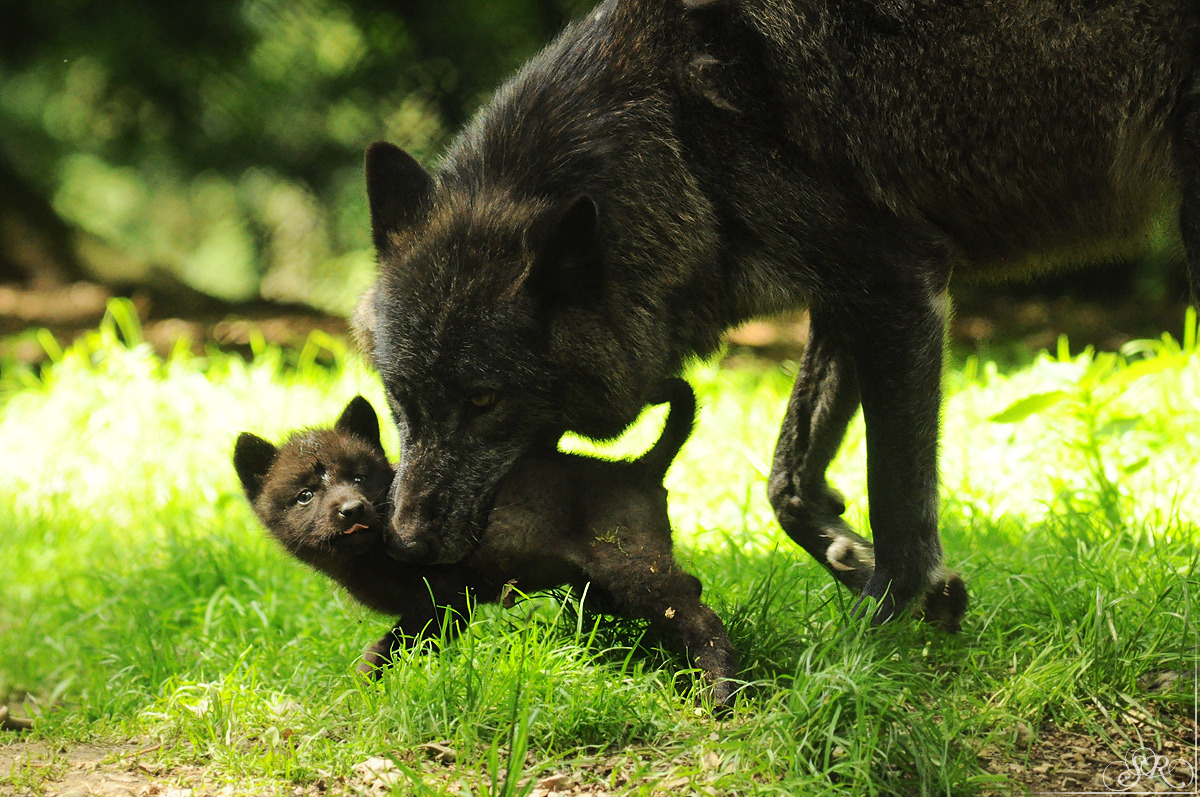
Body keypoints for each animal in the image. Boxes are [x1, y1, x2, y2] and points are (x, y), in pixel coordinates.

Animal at [233, 383, 739, 704]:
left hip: (632, 571)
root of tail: (638, 467)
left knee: (698, 613)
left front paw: (364, 689)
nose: (352, 510)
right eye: (305, 495)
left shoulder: (446, 600)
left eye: (359, 477)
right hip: (607, 588)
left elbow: (385, 648)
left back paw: (717, 693)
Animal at [355, 0, 1200, 625]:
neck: (678, 136)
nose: (404, 539)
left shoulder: (899, 283)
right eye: (401, 397)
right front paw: (855, 559)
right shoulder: (847, 296)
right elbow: (786, 482)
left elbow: (898, 499)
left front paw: (886, 630)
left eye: (484, 399)